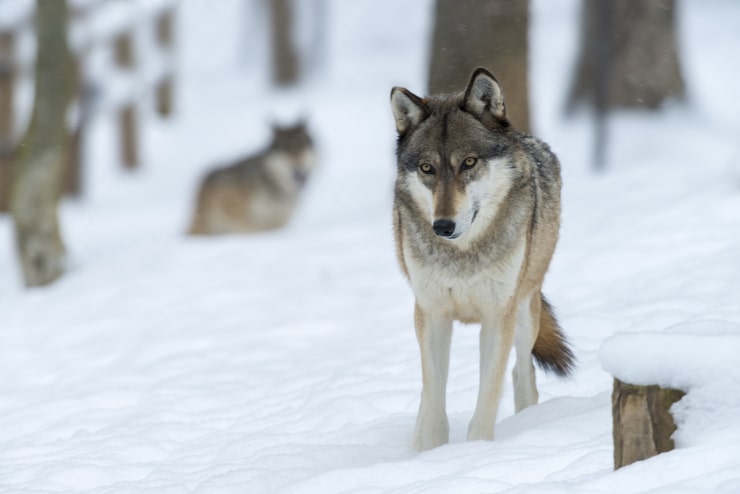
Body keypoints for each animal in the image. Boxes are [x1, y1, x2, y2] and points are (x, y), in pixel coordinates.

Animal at [390, 68, 574, 451]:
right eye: (427, 168)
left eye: (469, 162)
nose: (443, 226)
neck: (462, 257)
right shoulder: (432, 313)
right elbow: (433, 397)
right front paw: (429, 452)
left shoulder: (497, 315)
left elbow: (487, 397)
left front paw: (476, 452)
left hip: (525, 309)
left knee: (522, 372)